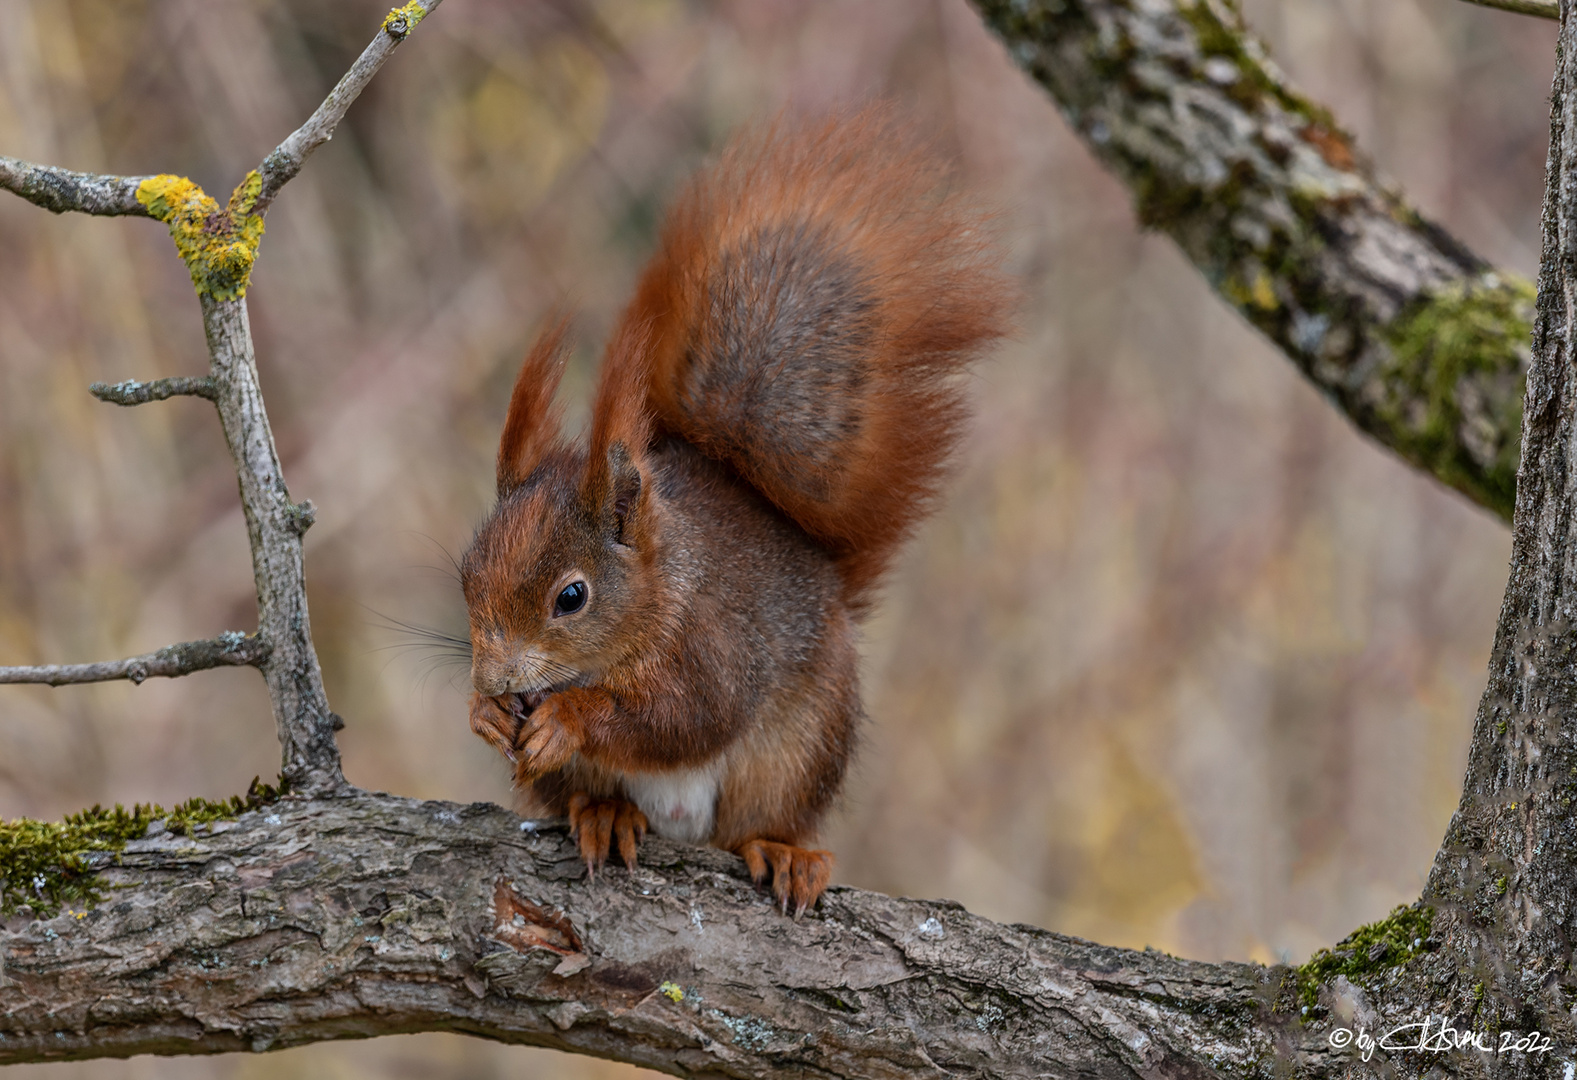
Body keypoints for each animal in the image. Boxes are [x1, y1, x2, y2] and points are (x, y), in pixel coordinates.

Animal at [460, 109, 1015, 914]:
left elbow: (685, 718)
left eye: (572, 597)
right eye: (465, 573)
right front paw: (482, 715)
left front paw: (568, 716)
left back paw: (782, 853)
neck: (663, 589)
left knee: (757, 820)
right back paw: (603, 812)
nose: (499, 681)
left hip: (797, 751)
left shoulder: (716, 646)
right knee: (588, 796)